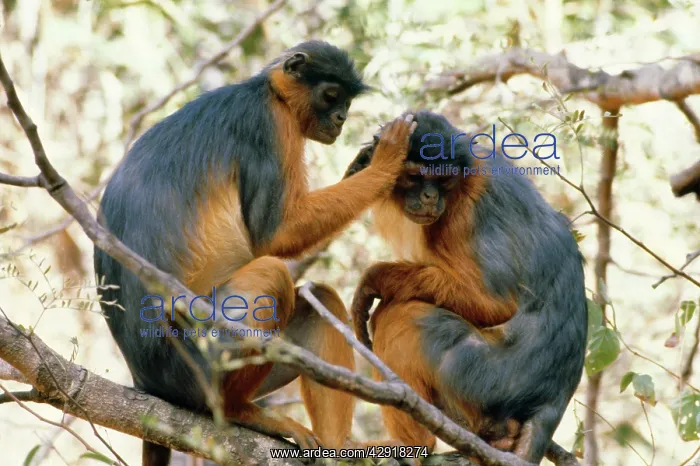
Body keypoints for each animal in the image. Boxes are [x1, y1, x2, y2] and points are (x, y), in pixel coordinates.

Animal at [93, 40, 417, 466]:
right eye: (331, 96)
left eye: (346, 101)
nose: (341, 118)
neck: (269, 90)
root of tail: (145, 380)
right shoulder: (268, 125)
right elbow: (275, 234)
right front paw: (386, 161)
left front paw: (366, 161)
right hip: (196, 357)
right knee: (272, 274)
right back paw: (236, 410)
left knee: (317, 301)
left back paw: (337, 448)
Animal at [344, 111, 587, 464]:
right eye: (415, 177)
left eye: (442, 180)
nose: (430, 197)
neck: (460, 185)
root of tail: (553, 399)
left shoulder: (467, 212)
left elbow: (495, 304)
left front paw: (375, 279)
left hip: (483, 378)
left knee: (400, 317)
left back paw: (414, 448)